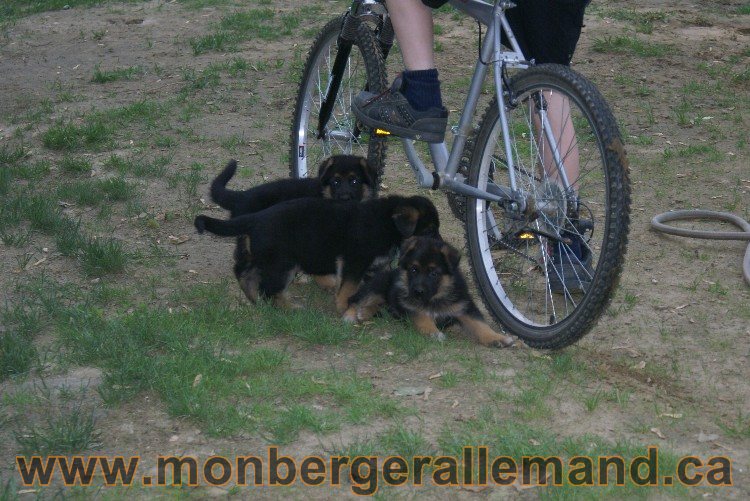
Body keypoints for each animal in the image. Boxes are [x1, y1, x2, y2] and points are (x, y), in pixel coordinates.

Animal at [192, 196, 440, 310]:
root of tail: (256, 217)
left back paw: (254, 299)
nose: (440, 245)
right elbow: (348, 286)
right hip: (282, 265)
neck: (387, 222)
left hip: (264, 258)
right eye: (429, 230)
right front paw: (343, 307)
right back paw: (290, 308)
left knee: (244, 274)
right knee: (269, 289)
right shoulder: (354, 261)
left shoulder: (372, 267)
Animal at [346, 235, 516, 348]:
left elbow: (480, 325)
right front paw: (433, 332)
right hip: (378, 285)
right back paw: (352, 315)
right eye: (414, 269)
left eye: (433, 273)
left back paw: (365, 312)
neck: (435, 298)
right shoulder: (411, 307)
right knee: (355, 300)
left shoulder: (464, 306)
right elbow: (423, 318)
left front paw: (497, 338)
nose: (418, 292)